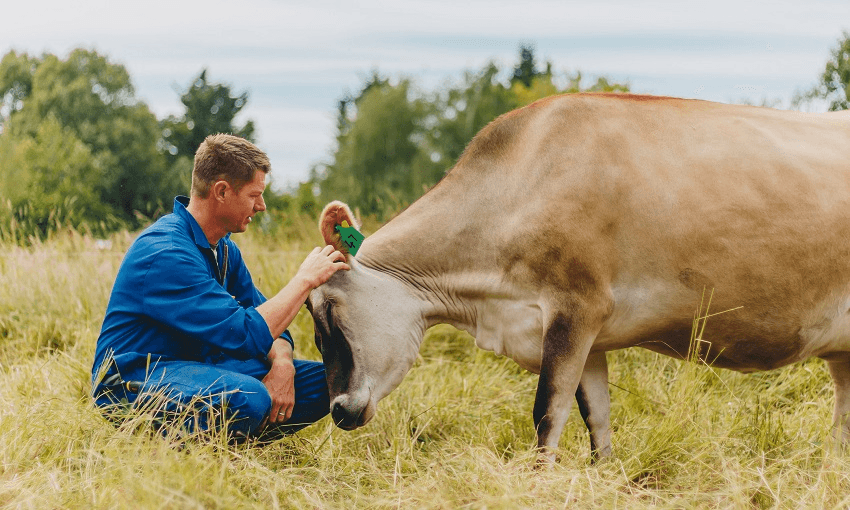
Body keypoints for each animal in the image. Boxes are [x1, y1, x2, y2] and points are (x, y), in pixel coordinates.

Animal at [306, 93, 850, 462]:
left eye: (328, 306)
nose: (338, 410)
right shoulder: (592, 337)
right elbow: (596, 417)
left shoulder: (576, 309)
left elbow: (547, 413)